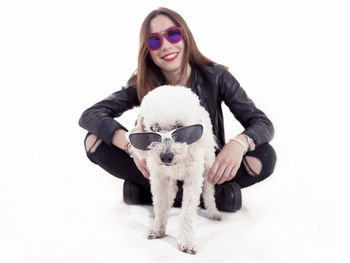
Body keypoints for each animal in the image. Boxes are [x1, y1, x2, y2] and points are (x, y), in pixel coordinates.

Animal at [128, 85, 221, 255]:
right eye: (153, 129)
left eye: (179, 127)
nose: (166, 157)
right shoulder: (159, 178)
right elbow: (160, 203)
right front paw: (158, 228)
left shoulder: (193, 178)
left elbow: (188, 212)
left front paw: (187, 242)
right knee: (169, 196)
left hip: (208, 167)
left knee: (209, 192)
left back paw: (213, 213)